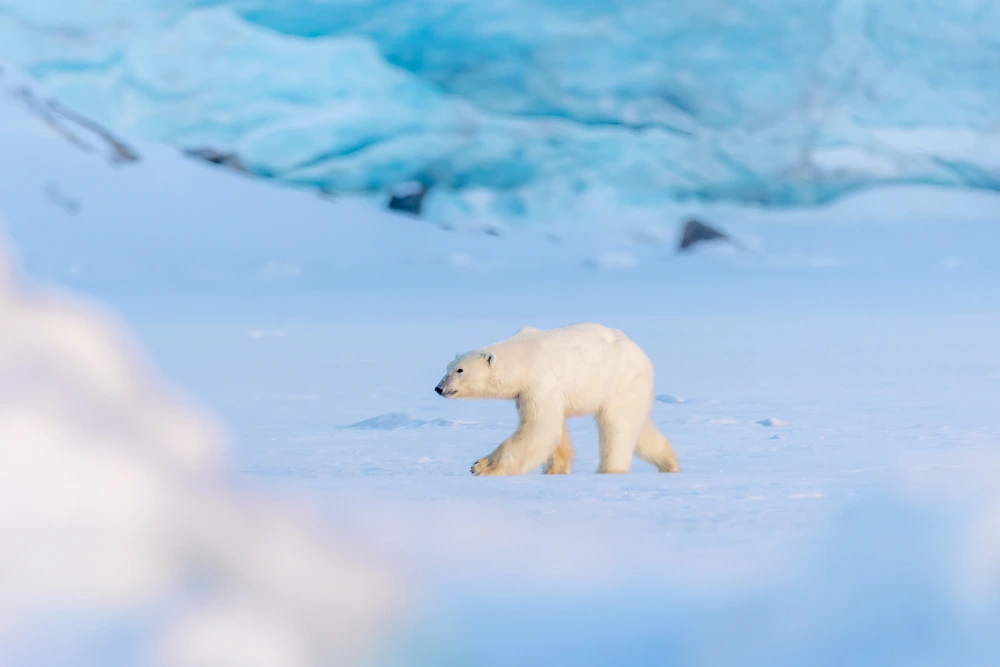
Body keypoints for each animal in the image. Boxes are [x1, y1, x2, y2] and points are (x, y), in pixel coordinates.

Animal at [434, 323, 679, 476]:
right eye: (447, 368)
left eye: (460, 370)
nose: (439, 388)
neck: (524, 356)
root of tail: (643, 355)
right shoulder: (526, 393)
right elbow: (554, 431)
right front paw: (556, 470)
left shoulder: (541, 382)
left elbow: (539, 429)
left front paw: (481, 466)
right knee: (639, 430)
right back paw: (670, 462)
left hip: (618, 381)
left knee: (616, 427)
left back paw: (609, 470)